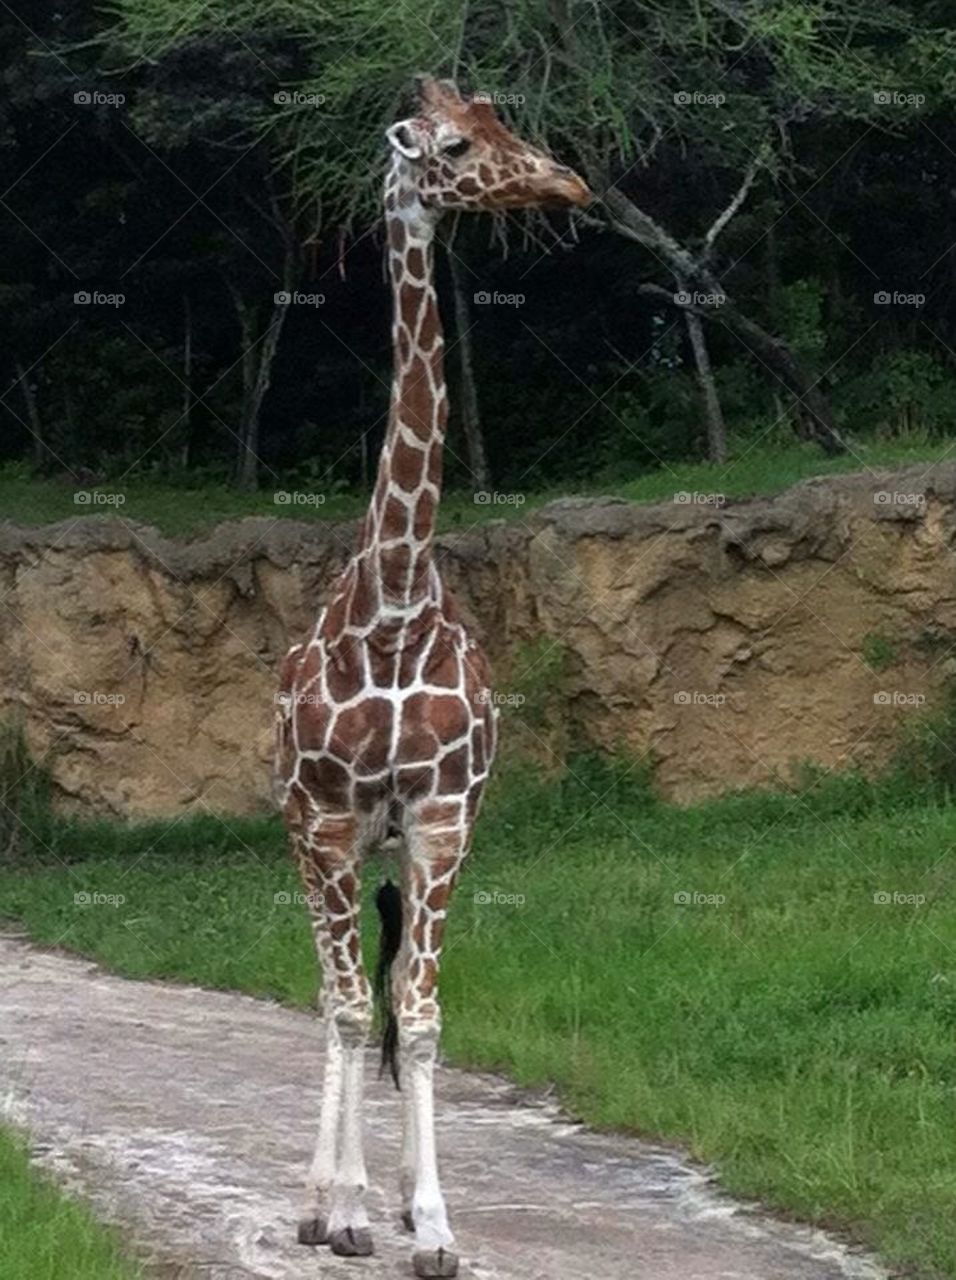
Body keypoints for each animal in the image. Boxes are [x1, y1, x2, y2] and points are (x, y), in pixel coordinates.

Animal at [274, 76, 590, 1279]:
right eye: (452, 147)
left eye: (504, 123)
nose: (568, 181)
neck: (397, 606)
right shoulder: (326, 824)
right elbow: (346, 1005)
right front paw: (350, 1211)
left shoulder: (446, 821)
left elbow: (420, 1013)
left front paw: (435, 1224)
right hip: (308, 833)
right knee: (328, 990)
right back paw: (322, 1199)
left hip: (394, 844)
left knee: (379, 983)